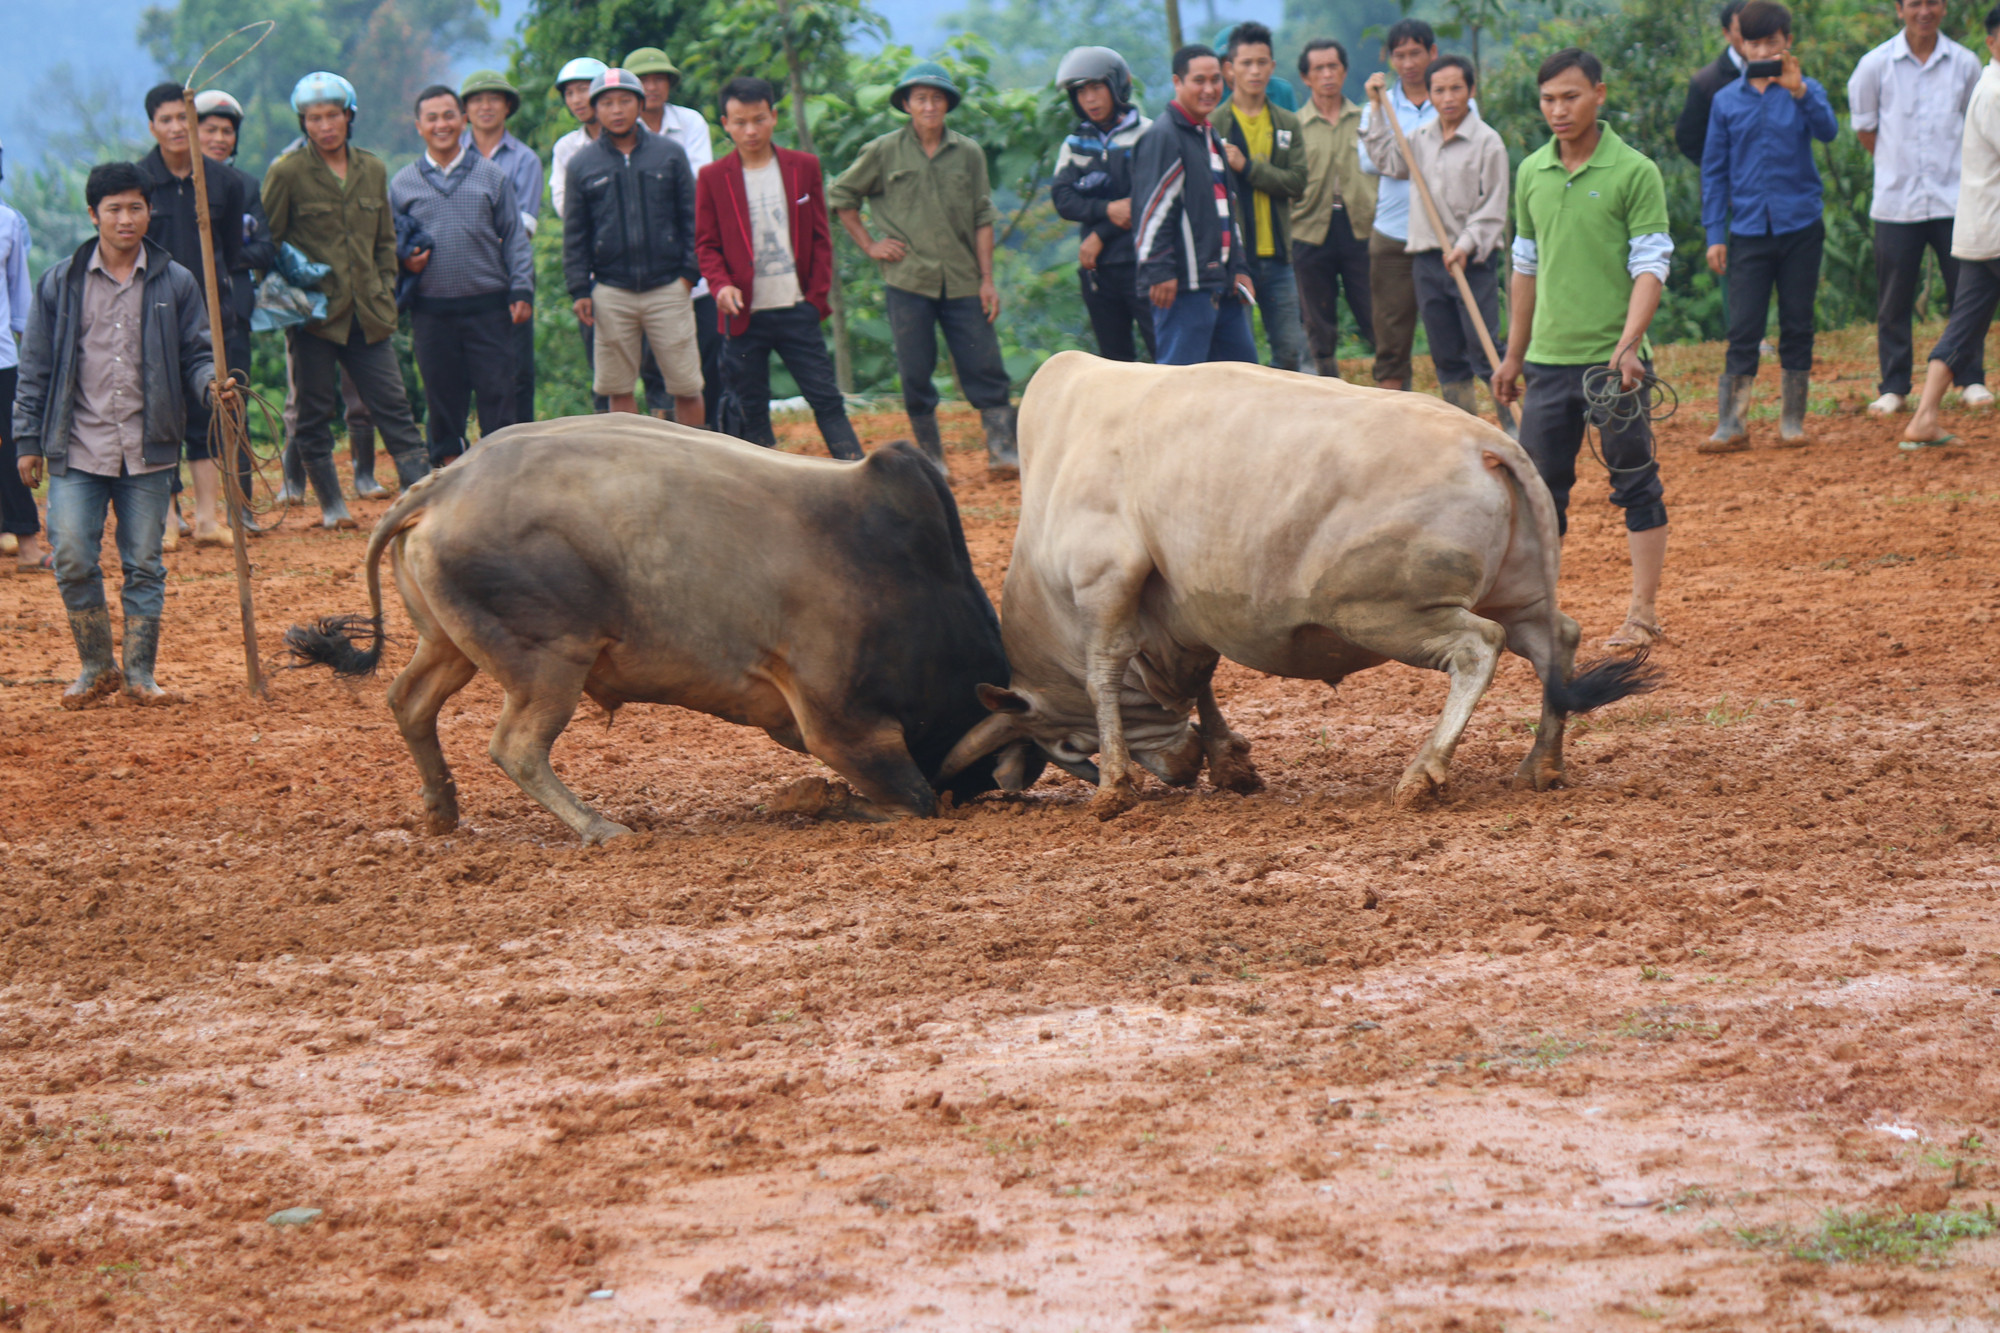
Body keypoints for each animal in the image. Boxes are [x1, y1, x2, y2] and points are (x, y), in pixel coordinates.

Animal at [290, 416, 1040, 840]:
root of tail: (445, 484)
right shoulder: (843, 724)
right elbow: (917, 800)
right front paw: (819, 802)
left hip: (451, 645)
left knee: (409, 702)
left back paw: (442, 810)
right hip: (549, 661)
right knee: (517, 748)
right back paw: (598, 827)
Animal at [944, 348, 1664, 816]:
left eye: (1068, 744)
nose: (1179, 771)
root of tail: (1488, 443)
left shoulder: (1106, 582)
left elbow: (1103, 672)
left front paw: (1114, 787)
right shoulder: (1188, 614)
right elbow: (1201, 679)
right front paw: (1229, 762)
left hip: (1385, 610)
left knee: (1477, 647)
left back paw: (1424, 772)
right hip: (1517, 595)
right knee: (1556, 643)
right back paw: (1539, 764)